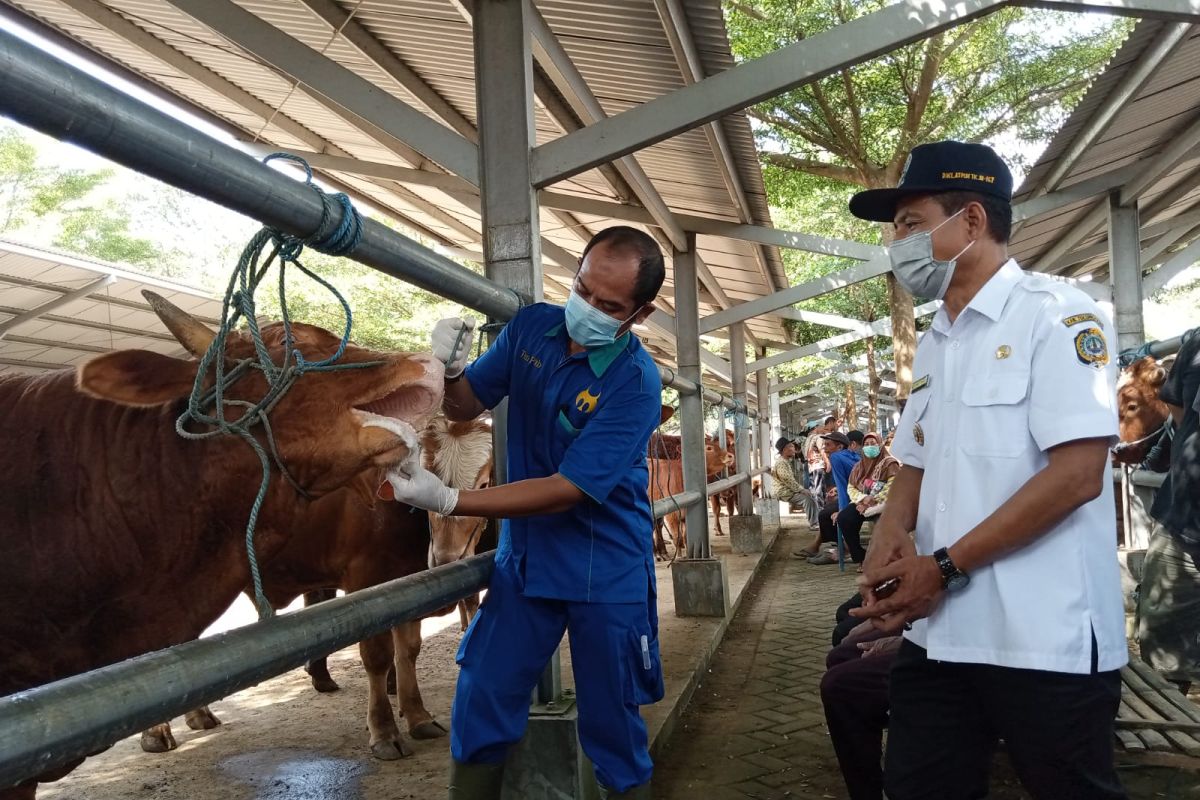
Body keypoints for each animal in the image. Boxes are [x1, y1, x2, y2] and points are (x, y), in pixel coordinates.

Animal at [0, 296, 441, 800]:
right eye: (291, 341)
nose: (426, 363)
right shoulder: (366, 576)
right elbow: (377, 655)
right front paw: (385, 731)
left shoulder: (408, 572)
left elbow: (409, 649)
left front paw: (418, 715)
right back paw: (159, 732)